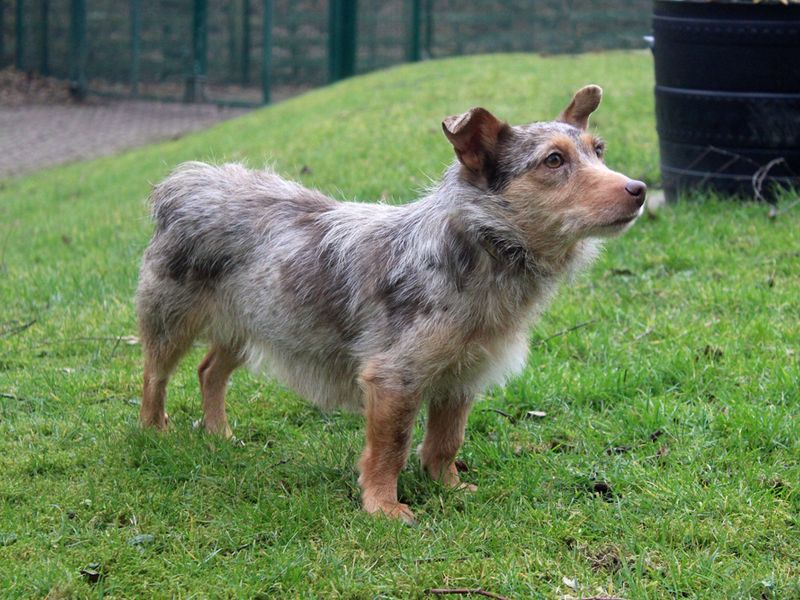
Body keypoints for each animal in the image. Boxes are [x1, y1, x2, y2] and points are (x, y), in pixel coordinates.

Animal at [136, 85, 644, 524]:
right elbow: (391, 447)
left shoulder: (461, 377)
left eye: (599, 151)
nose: (638, 189)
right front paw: (383, 505)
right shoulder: (395, 378)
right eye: (554, 160)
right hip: (172, 320)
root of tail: (187, 181)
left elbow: (445, 441)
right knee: (154, 377)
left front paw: (447, 487)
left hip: (252, 323)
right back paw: (154, 430)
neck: (480, 247)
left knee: (209, 372)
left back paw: (219, 434)